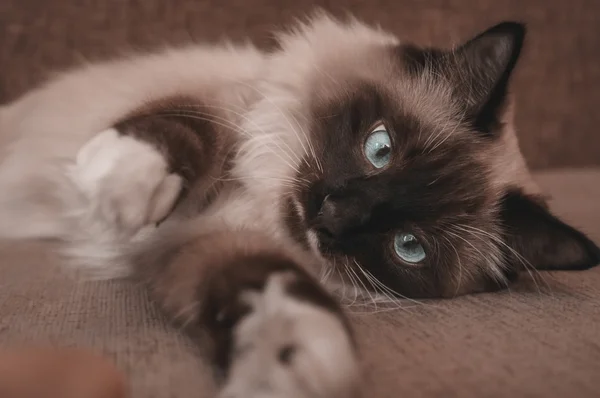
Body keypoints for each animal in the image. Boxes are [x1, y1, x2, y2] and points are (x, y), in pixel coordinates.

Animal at [1, 10, 600, 398]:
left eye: (409, 246)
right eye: (379, 149)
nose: (331, 218)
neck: (261, 203)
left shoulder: (212, 241)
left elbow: (275, 287)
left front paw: (295, 365)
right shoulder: (229, 111)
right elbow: (188, 126)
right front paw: (123, 181)